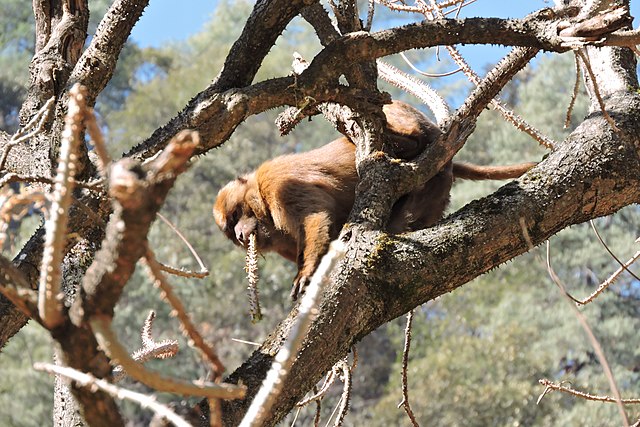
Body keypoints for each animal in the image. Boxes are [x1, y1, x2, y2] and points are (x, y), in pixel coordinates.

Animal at [213, 101, 536, 299]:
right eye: (230, 229)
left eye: (236, 215)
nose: (240, 234)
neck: (262, 202)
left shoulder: (279, 186)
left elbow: (316, 217)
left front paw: (305, 273)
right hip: (435, 192)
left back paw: (400, 139)